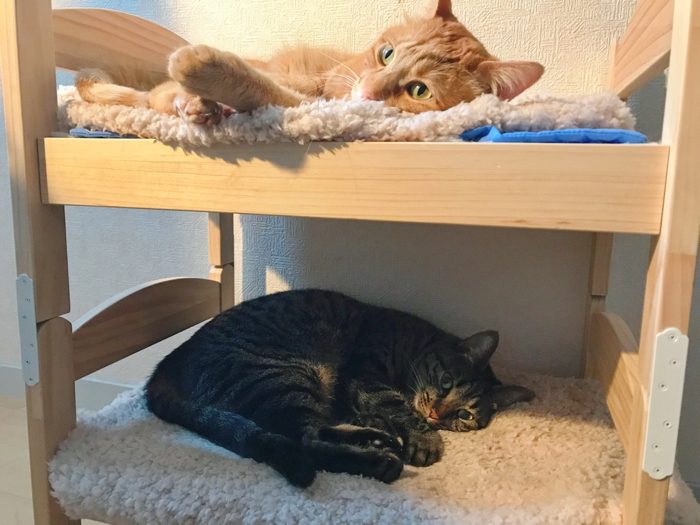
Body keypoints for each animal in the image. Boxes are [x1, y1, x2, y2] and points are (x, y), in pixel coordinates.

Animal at [76, 0, 544, 124]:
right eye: (387, 53)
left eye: (419, 90)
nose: (368, 90)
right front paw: (205, 70)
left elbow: (268, 92)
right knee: (156, 94)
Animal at [146, 289, 534, 487]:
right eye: (446, 382)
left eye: (465, 415)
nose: (437, 414)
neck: (415, 344)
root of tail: (163, 369)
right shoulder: (364, 374)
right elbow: (397, 406)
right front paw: (424, 439)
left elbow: (382, 411)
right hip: (285, 375)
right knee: (307, 442)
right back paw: (379, 462)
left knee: (313, 432)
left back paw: (376, 442)